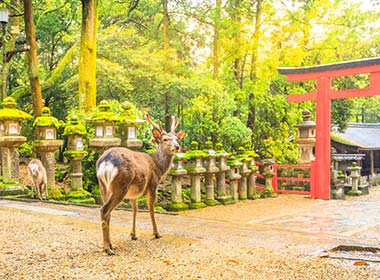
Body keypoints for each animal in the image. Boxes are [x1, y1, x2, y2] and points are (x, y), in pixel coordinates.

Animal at [96, 114, 186, 256]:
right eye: (165, 139)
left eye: (177, 138)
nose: (177, 147)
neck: (158, 167)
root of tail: (105, 162)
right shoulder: (153, 185)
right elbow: (151, 209)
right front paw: (157, 233)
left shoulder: (134, 194)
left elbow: (135, 210)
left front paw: (133, 235)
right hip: (120, 186)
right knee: (104, 210)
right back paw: (107, 249)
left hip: (103, 186)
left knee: (107, 212)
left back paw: (110, 244)